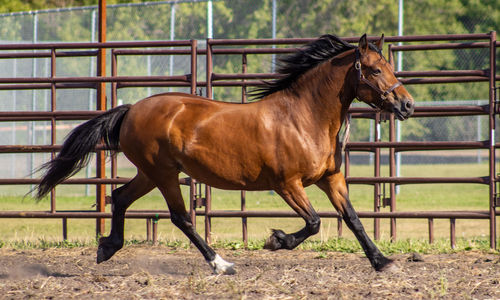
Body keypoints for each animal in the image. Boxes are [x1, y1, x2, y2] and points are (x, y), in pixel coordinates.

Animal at [34, 34, 414, 276]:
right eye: (375, 70)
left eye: (388, 67)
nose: (407, 104)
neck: (304, 118)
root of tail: (131, 110)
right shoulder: (287, 184)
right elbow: (315, 222)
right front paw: (276, 241)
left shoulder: (330, 179)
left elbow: (353, 219)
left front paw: (383, 262)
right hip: (164, 173)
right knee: (181, 217)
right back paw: (222, 265)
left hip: (149, 173)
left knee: (120, 196)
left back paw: (107, 247)